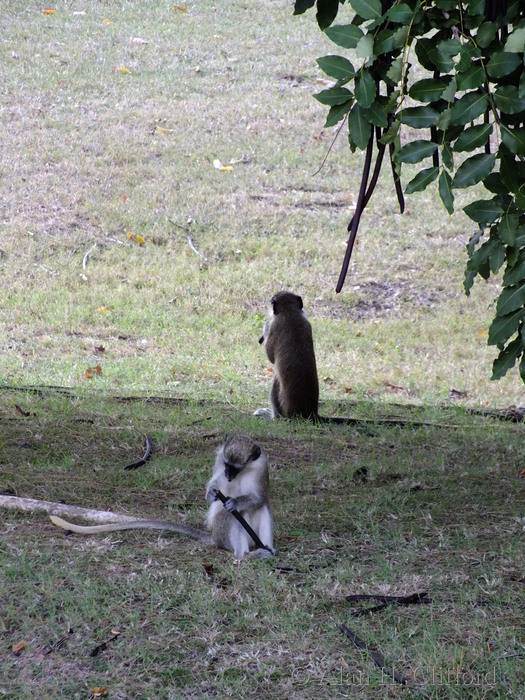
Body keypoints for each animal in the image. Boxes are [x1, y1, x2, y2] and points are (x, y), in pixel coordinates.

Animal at [50, 435, 274, 560]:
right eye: (227, 465)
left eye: (235, 468)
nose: (228, 475)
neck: (244, 472)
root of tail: (213, 537)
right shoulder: (219, 460)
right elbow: (214, 486)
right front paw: (213, 494)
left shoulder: (261, 467)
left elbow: (260, 497)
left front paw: (234, 501)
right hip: (221, 534)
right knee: (230, 517)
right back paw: (244, 556)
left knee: (261, 508)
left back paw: (266, 550)